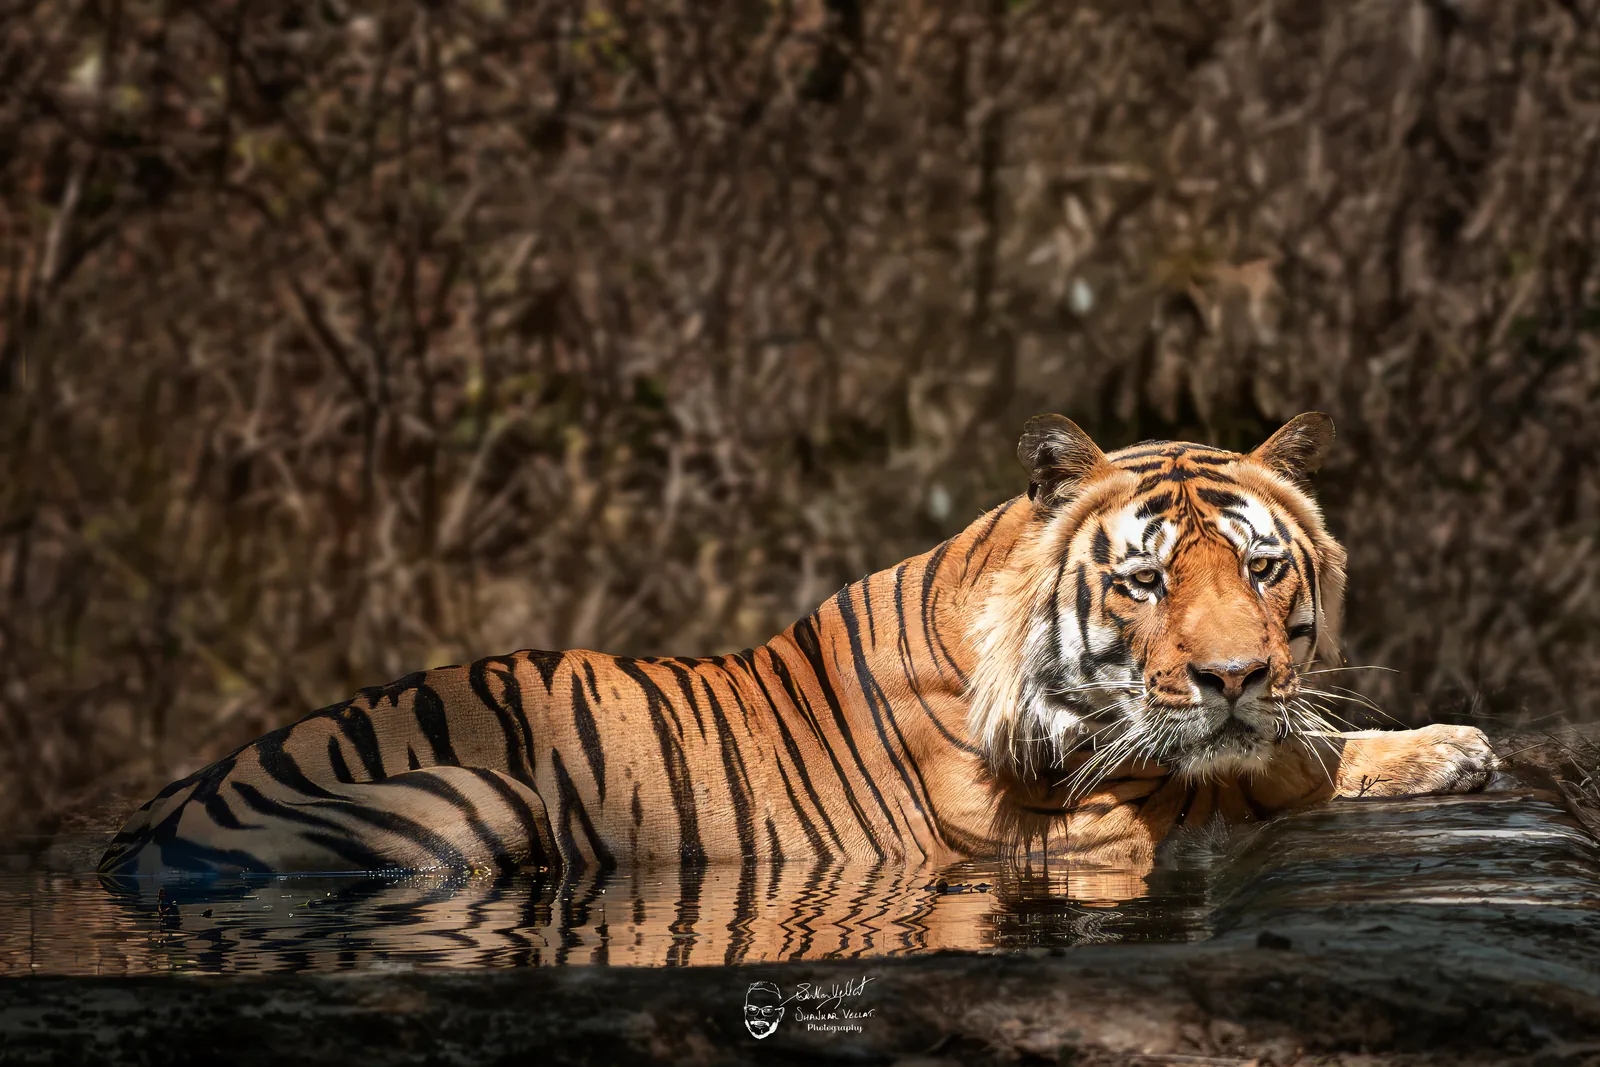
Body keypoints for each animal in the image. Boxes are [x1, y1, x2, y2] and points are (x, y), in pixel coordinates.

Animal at [97, 413, 1497, 891]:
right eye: (1145, 580)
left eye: (1262, 568)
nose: (1234, 676)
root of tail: (140, 821)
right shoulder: (1068, 818)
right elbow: (1260, 777)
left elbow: (1288, 753)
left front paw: (1445, 745)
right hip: (471, 793)